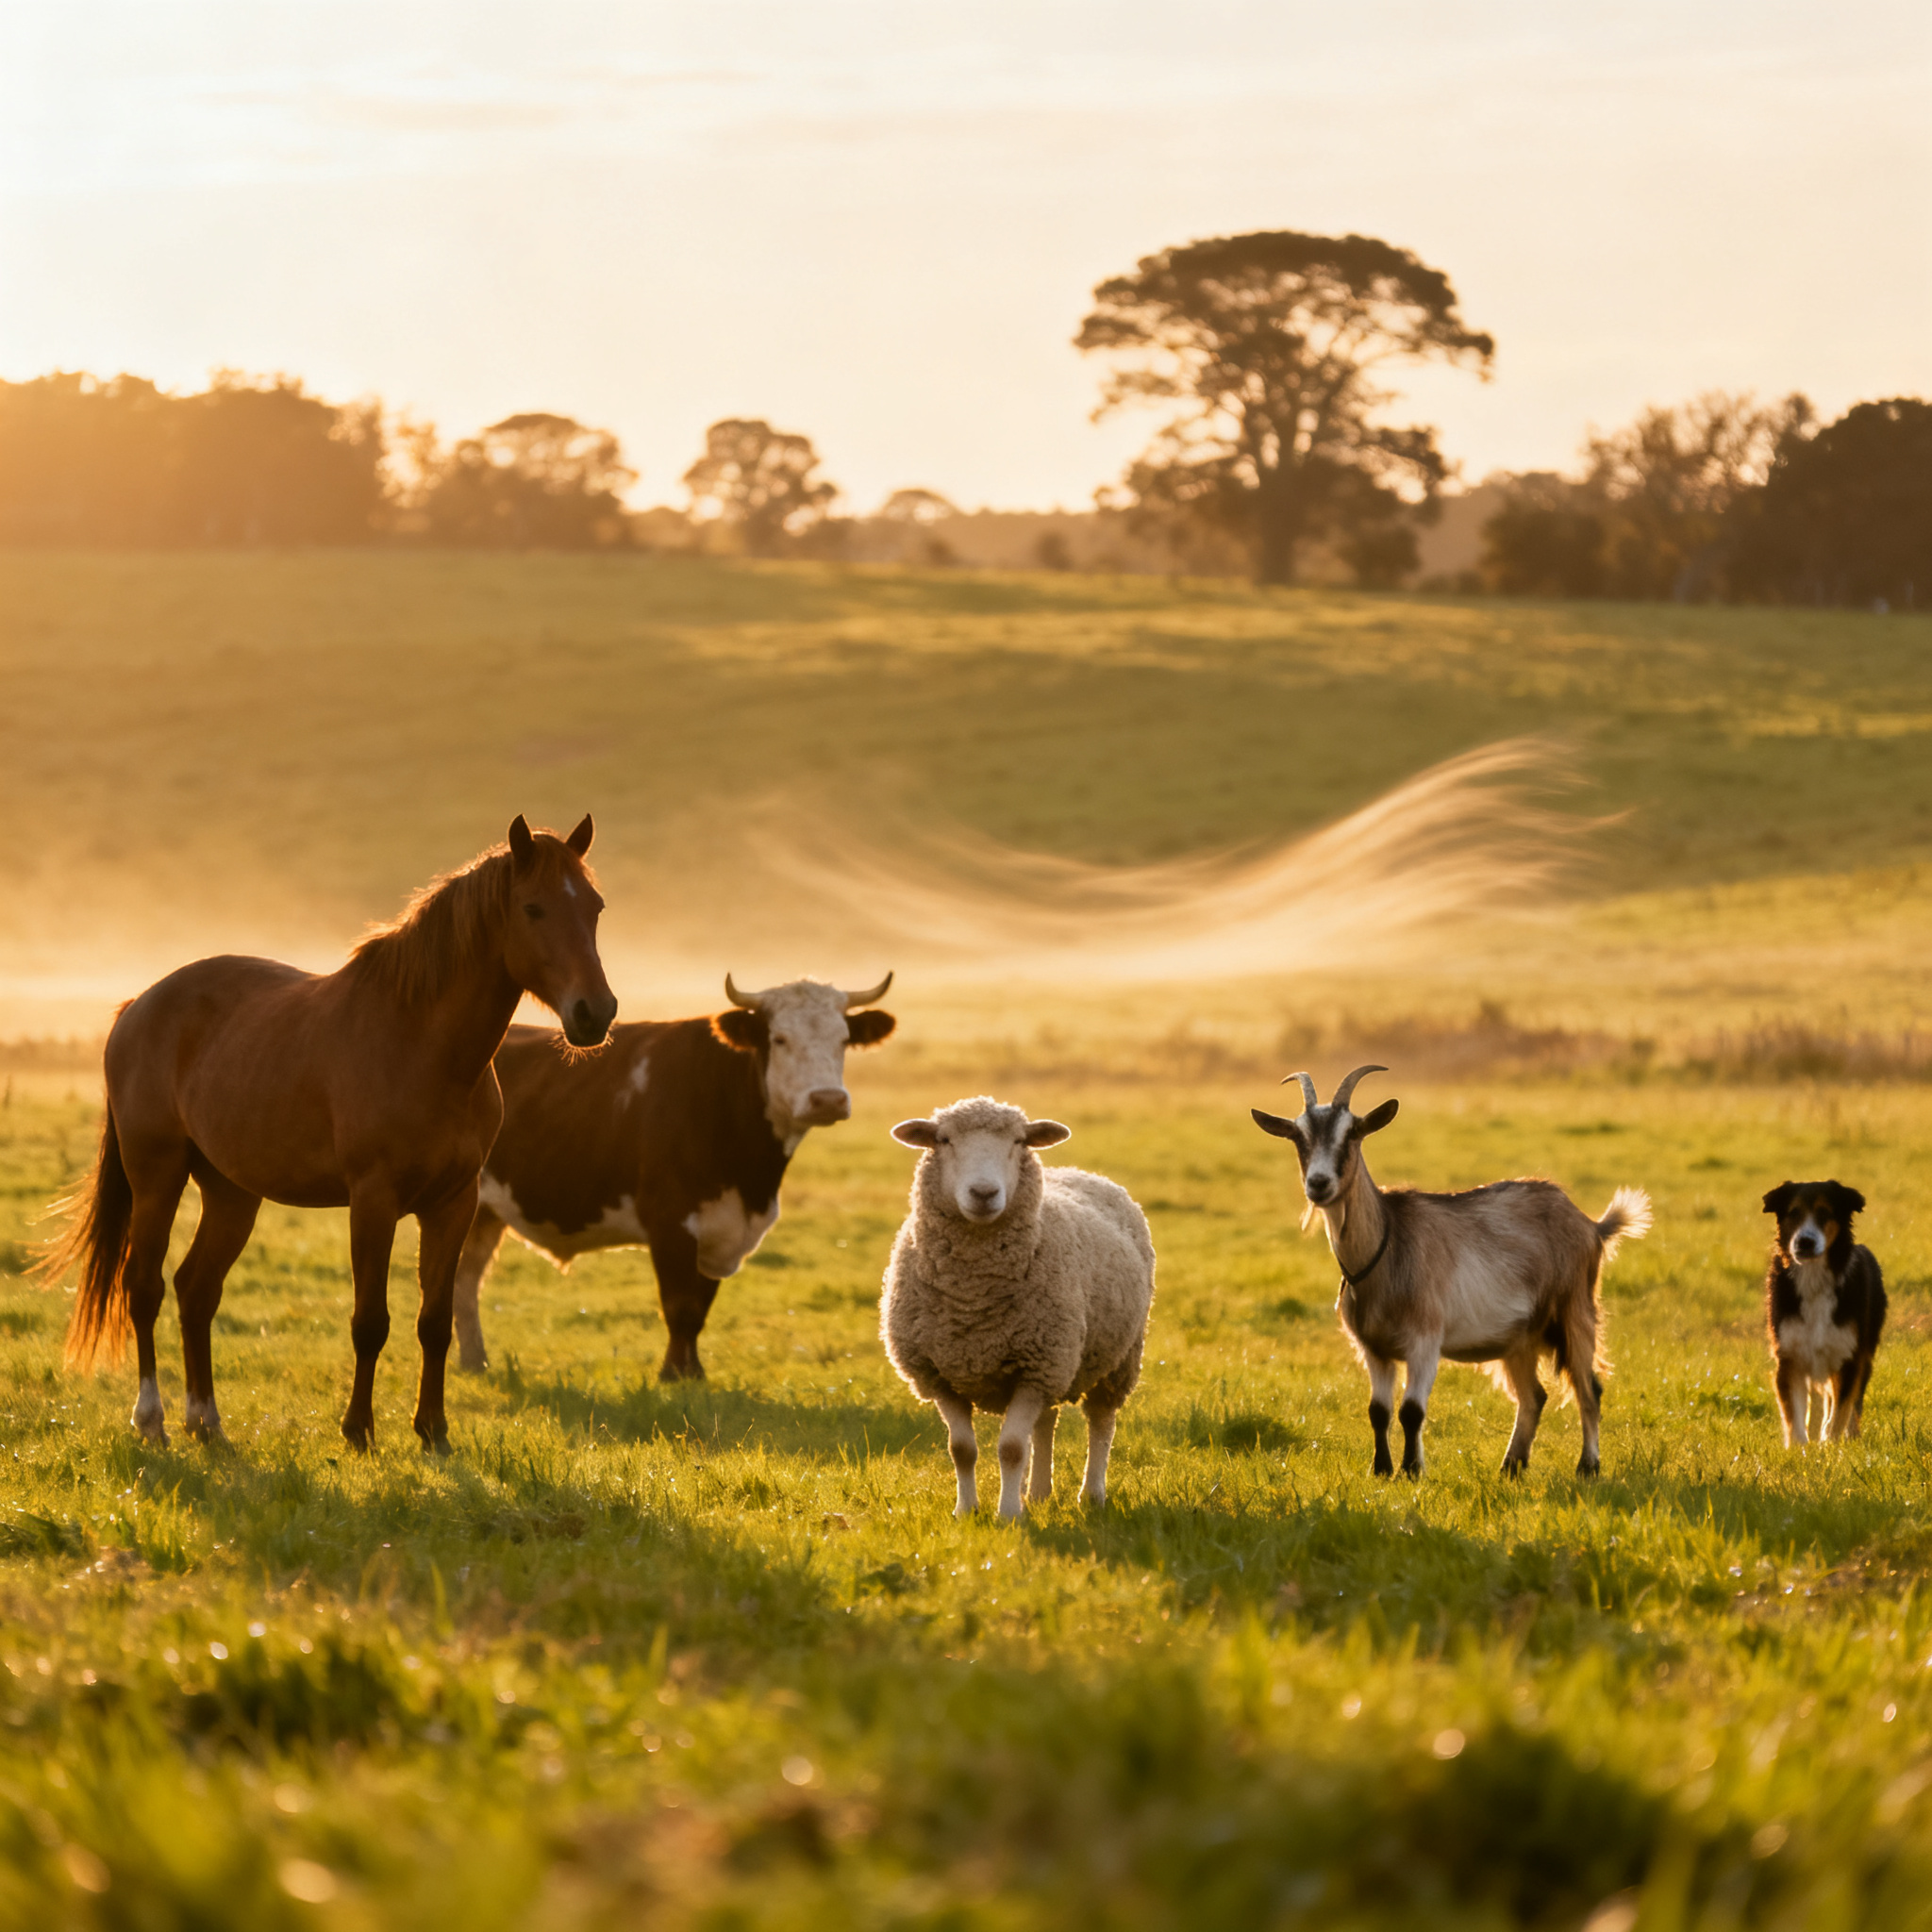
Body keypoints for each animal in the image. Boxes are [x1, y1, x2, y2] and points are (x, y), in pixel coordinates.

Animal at [40, 815, 617, 1453]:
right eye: (533, 908)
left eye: (594, 906)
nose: (595, 1013)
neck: (422, 1046)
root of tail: (137, 1007)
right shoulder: (373, 1200)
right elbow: (370, 1322)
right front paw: (358, 1430)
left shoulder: (453, 1205)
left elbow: (434, 1323)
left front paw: (433, 1432)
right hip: (157, 1177)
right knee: (144, 1289)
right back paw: (153, 1419)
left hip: (231, 1193)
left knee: (196, 1291)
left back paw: (206, 1421)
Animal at [451, 973, 897, 1380]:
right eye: (780, 1039)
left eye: (844, 1040)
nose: (827, 1100)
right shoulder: (670, 1222)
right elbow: (680, 1306)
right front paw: (673, 1374)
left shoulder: (718, 1231)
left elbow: (700, 1307)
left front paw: (693, 1373)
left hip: (484, 1215)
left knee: (466, 1282)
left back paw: (475, 1362)